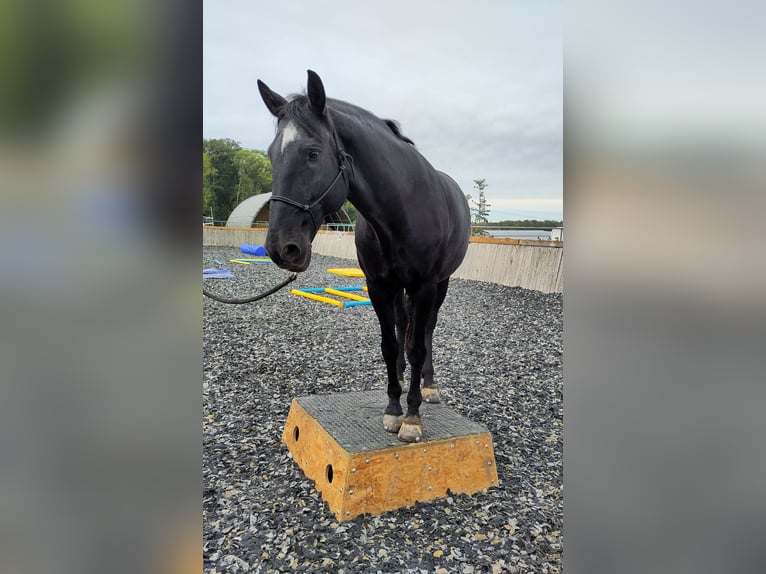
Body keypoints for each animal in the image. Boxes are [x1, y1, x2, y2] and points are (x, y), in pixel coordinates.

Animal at [260, 70, 472, 444]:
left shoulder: (425, 285)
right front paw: (393, 408)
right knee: (404, 326)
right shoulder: (378, 286)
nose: (281, 248)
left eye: (313, 153)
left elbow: (417, 346)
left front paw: (412, 417)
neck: (401, 208)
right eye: (271, 154)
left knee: (426, 330)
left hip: (440, 285)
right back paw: (401, 378)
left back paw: (428, 385)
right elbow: (390, 344)